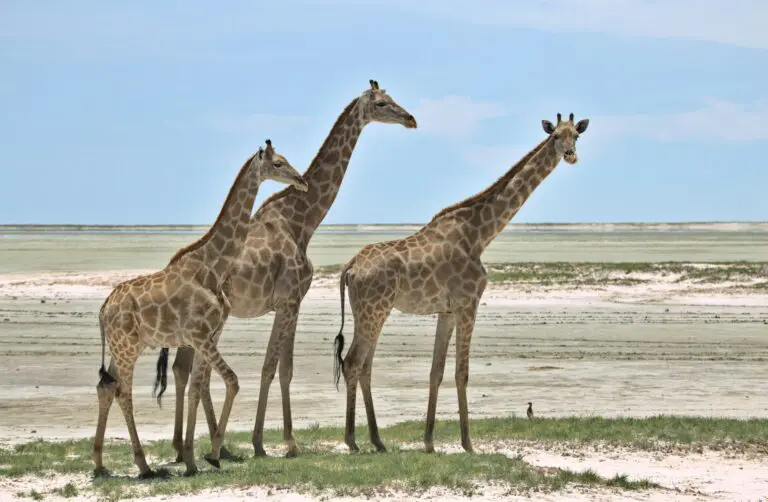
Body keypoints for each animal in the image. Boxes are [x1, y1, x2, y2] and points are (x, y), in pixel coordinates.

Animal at [91, 140, 308, 478]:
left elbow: (197, 388)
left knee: (106, 388)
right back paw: (143, 465)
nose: (301, 180)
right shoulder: (201, 336)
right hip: (126, 348)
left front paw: (194, 458)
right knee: (123, 393)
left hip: (123, 347)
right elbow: (230, 381)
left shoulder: (205, 336)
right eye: (278, 163)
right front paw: (211, 454)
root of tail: (103, 309)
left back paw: (100, 463)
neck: (213, 267)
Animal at [152, 80, 418, 460]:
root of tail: (171, 266)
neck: (302, 221)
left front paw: (279, 441)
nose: (411, 119)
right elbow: (273, 368)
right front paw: (272, 442)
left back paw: (195, 446)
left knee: (181, 369)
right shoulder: (289, 300)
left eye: (393, 98)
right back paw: (206, 446)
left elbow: (283, 369)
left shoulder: (292, 303)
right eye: (382, 103)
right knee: (188, 370)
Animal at [333, 113, 589, 453]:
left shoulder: (447, 311)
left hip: (370, 311)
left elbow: (436, 372)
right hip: (373, 310)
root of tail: (350, 267)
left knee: (365, 367)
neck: (480, 235)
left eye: (577, 135)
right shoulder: (469, 304)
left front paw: (429, 442)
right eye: (555, 137)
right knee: (352, 363)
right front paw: (468, 443)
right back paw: (352, 441)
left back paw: (378, 440)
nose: (571, 155)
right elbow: (461, 373)